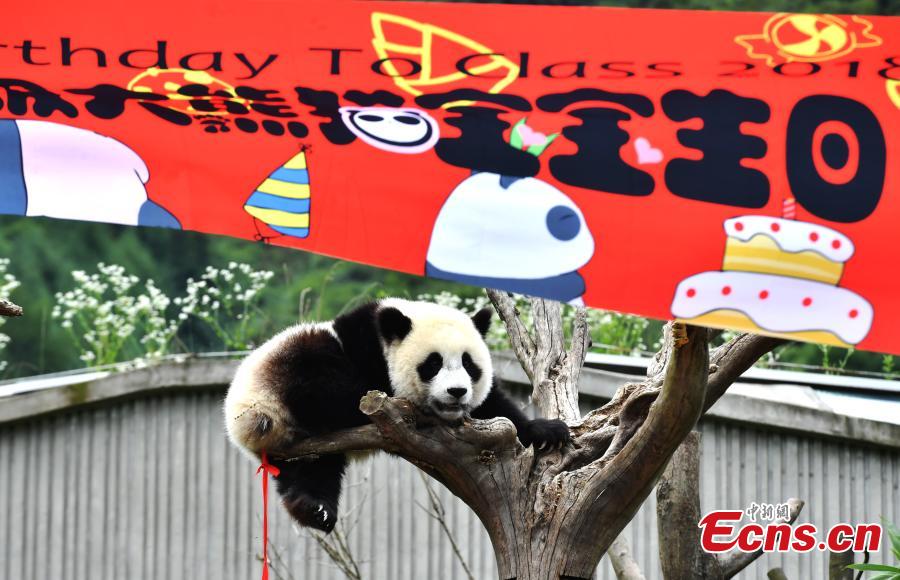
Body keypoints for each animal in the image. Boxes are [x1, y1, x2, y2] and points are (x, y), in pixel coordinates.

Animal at [225, 298, 570, 532]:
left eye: (469, 364)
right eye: (433, 363)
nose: (457, 392)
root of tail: (244, 425)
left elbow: (495, 407)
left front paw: (548, 431)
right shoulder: (365, 347)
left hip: (302, 448)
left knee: (312, 470)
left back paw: (314, 509)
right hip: (284, 372)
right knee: (320, 383)